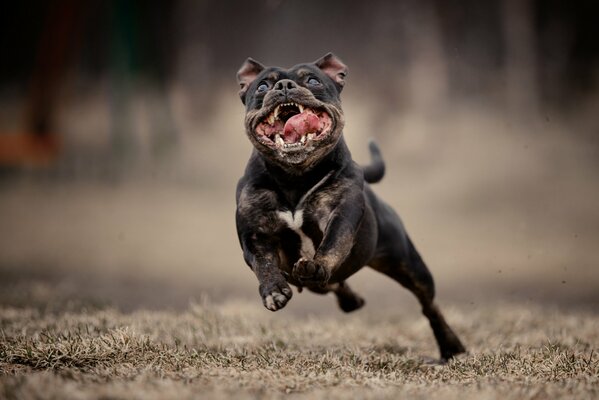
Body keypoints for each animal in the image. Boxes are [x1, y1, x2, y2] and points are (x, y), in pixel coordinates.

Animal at [233, 51, 464, 360]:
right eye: (261, 86)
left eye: (313, 80)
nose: (283, 85)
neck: (295, 177)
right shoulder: (255, 233)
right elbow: (263, 262)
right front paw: (273, 290)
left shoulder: (341, 214)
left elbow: (333, 243)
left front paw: (317, 265)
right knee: (335, 285)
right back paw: (349, 299)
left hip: (409, 264)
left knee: (429, 306)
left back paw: (451, 346)